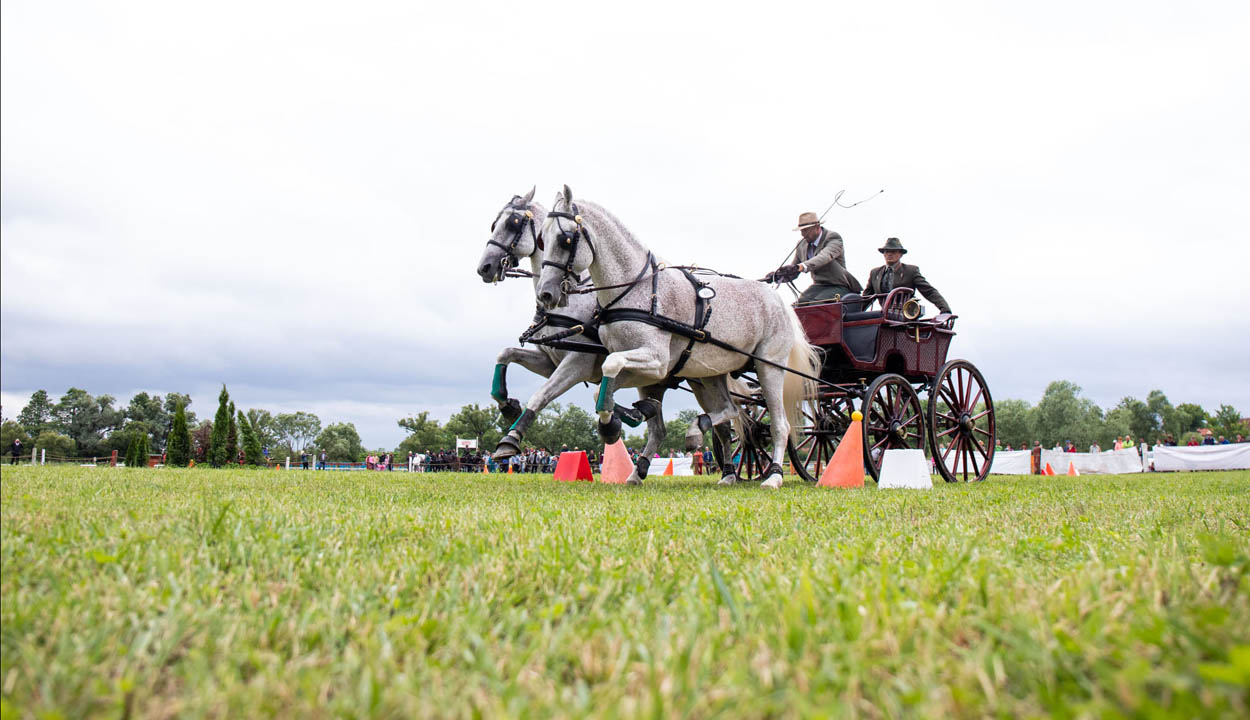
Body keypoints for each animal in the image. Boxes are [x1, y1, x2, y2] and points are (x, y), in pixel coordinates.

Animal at [535, 185, 820, 490]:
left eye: (565, 239)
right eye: (542, 240)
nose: (546, 293)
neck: (636, 290)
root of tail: (778, 300)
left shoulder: (656, 361)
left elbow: (610, 367)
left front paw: (616, 423)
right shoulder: (644, 370)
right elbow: (605, 386)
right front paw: (625, 417)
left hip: (769, 367)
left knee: (780, 424)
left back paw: (774, 475)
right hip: (711, 374)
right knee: (730, 410)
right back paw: (701, 441)